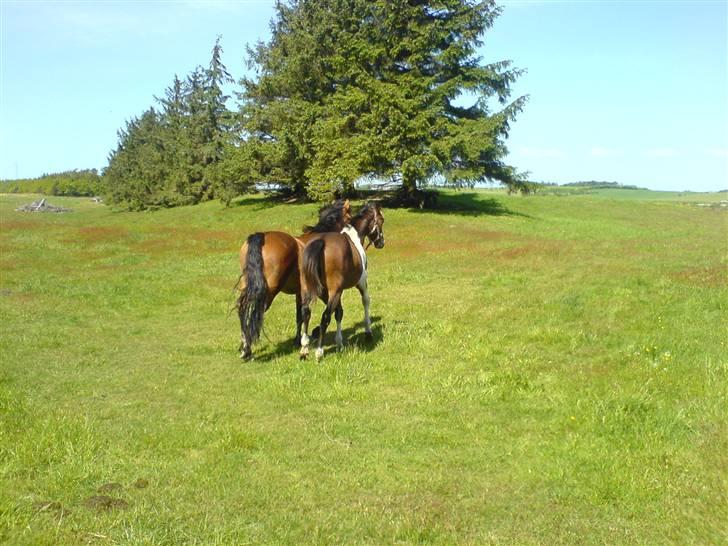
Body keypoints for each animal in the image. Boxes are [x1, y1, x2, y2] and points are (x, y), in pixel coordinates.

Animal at [236, 198, 352, 360]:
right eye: (349, 217)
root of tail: (261, 237)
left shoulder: (299, 292)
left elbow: (299, 316)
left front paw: (298, 340)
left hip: (248, 285)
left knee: (242, 308)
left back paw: (244, 347)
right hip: (269, 291)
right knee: (253, 311)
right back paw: (248, 349)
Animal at [298, 202, 386, 360]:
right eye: (381, 220)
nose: (381, 242)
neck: (353, 237)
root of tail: (321, 242)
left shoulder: (330, 293)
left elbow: (339, 312)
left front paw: (339, 343)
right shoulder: (361, 282)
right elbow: (365, 301)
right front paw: (368, 332)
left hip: (309, 290)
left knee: (306, 312)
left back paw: (304, 349)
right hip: (335, 291)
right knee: (325, 316)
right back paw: (319, 351)